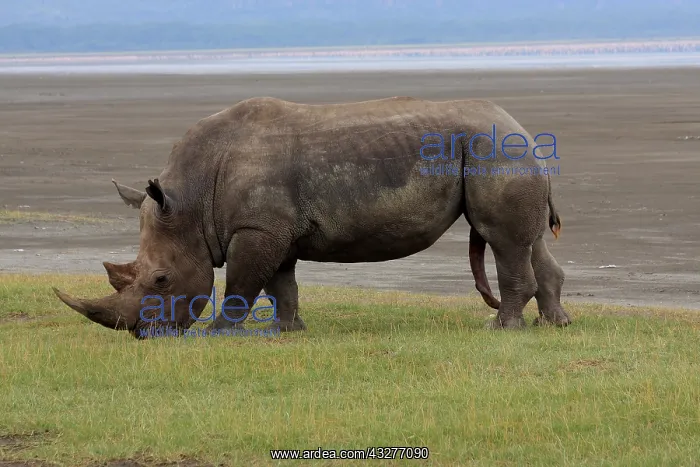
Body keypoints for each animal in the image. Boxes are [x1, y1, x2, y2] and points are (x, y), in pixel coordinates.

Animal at [53, 96, 571, 339]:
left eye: (161, 280)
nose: (144, 335)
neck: (191, 200)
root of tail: (521, 128)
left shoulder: (257, 228)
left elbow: (243, 283)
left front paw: (219, 332)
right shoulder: (270, 227)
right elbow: (280, 282)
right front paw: (288, 331)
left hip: (494, 152)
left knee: (503, 241)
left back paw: (502, 329)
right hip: (504, 153)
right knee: (526, 241)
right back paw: (556, 325)